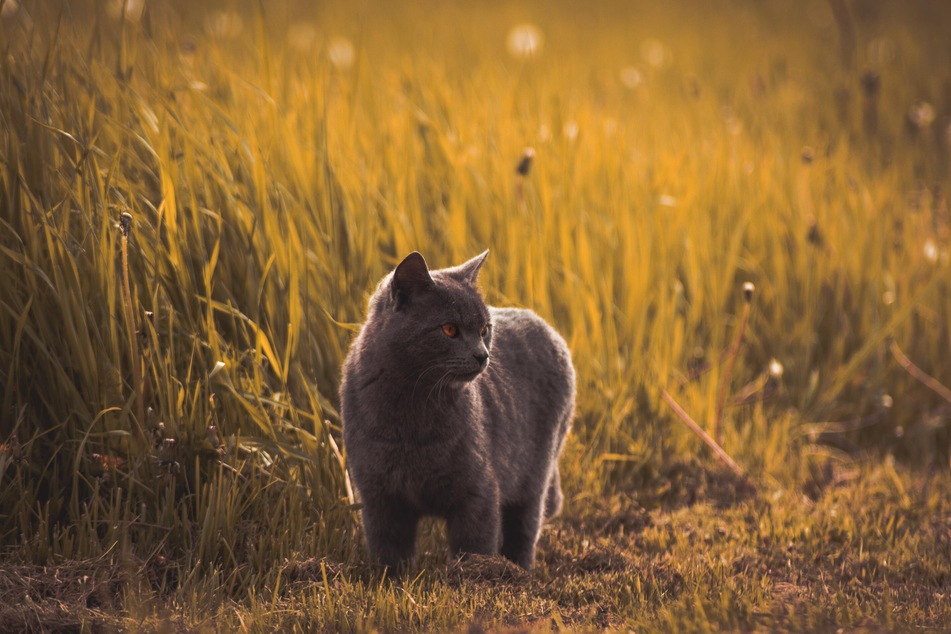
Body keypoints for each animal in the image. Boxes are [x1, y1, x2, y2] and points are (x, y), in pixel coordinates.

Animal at [338, 251, 576, 568]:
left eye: (484, 329)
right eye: (449, 329)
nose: (482, 355)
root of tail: (546, 325)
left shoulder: (478, 491)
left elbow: (474, 544)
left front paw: (476, 574)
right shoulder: (379, 494)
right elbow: (388, 548)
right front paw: (388, 576)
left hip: (535, 473)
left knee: (525, 529)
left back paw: (519, 572)